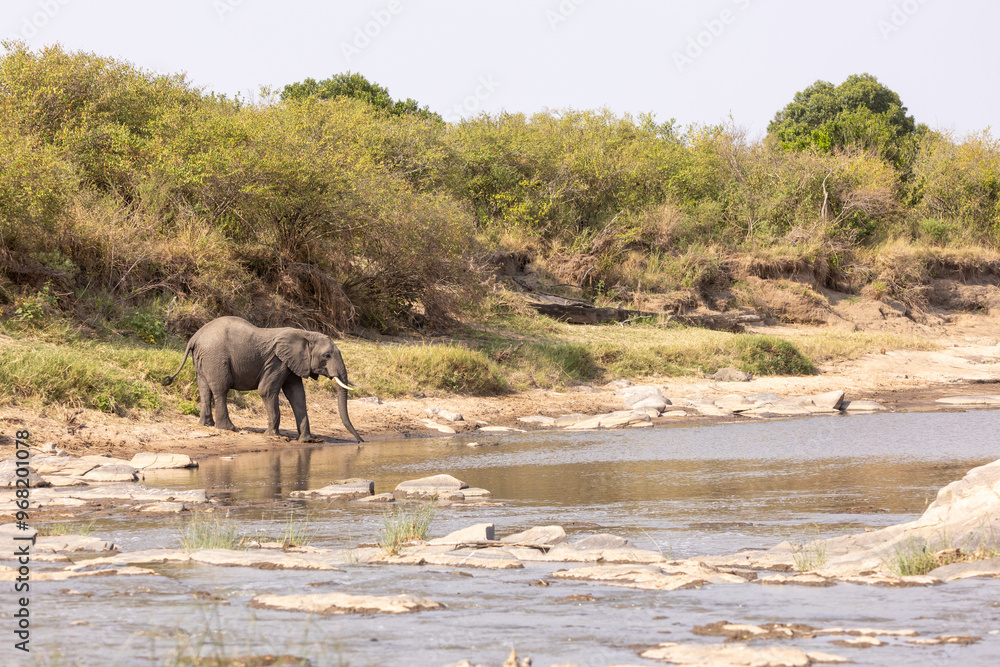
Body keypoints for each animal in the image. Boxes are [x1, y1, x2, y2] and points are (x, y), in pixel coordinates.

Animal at [163, 316, 362, 443]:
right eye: (327, 355)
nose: (361, 441)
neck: (305, 334)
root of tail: (195, 337)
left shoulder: (291, 363)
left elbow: (297, 394)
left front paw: (307, 441)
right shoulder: (276, 361)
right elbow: (266, 390)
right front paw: (273, 436)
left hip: (202, 358)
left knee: (204, 388)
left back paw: (207, 424)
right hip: (215, 356)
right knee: (221, 389)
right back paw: (228, 428)